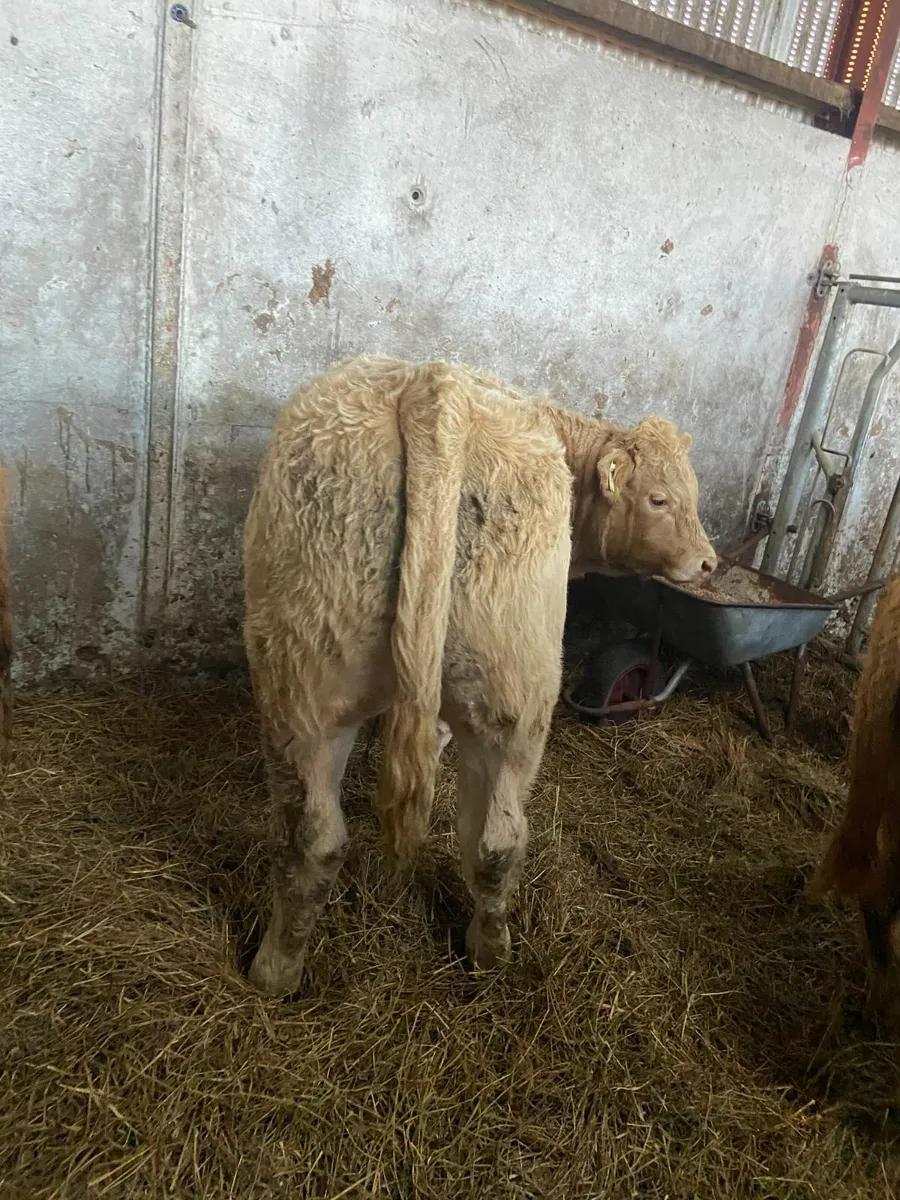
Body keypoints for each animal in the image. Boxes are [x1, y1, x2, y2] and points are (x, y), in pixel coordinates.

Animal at [243, 355, 716, 997]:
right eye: (660, 500)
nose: (709, 563)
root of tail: (431, 384)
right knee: (487, 838)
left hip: (318, 684)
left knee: (327, 838)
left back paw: (279, 971)